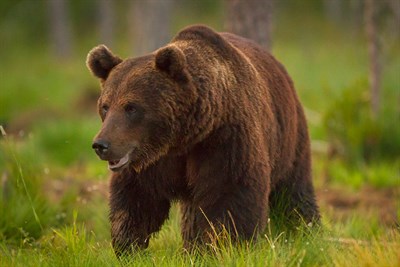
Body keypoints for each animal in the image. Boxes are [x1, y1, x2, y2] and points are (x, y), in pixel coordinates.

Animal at [86, 24, 318, 255]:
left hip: (288, 137)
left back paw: (304, 229)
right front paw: (129, 246)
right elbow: (137, 199)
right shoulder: (153, 160)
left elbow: (231, 193)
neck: (184, 137)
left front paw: (228, 245)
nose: (101, 145)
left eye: (131, 107)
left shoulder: (225, 140)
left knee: (293, 190)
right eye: (105, 106)